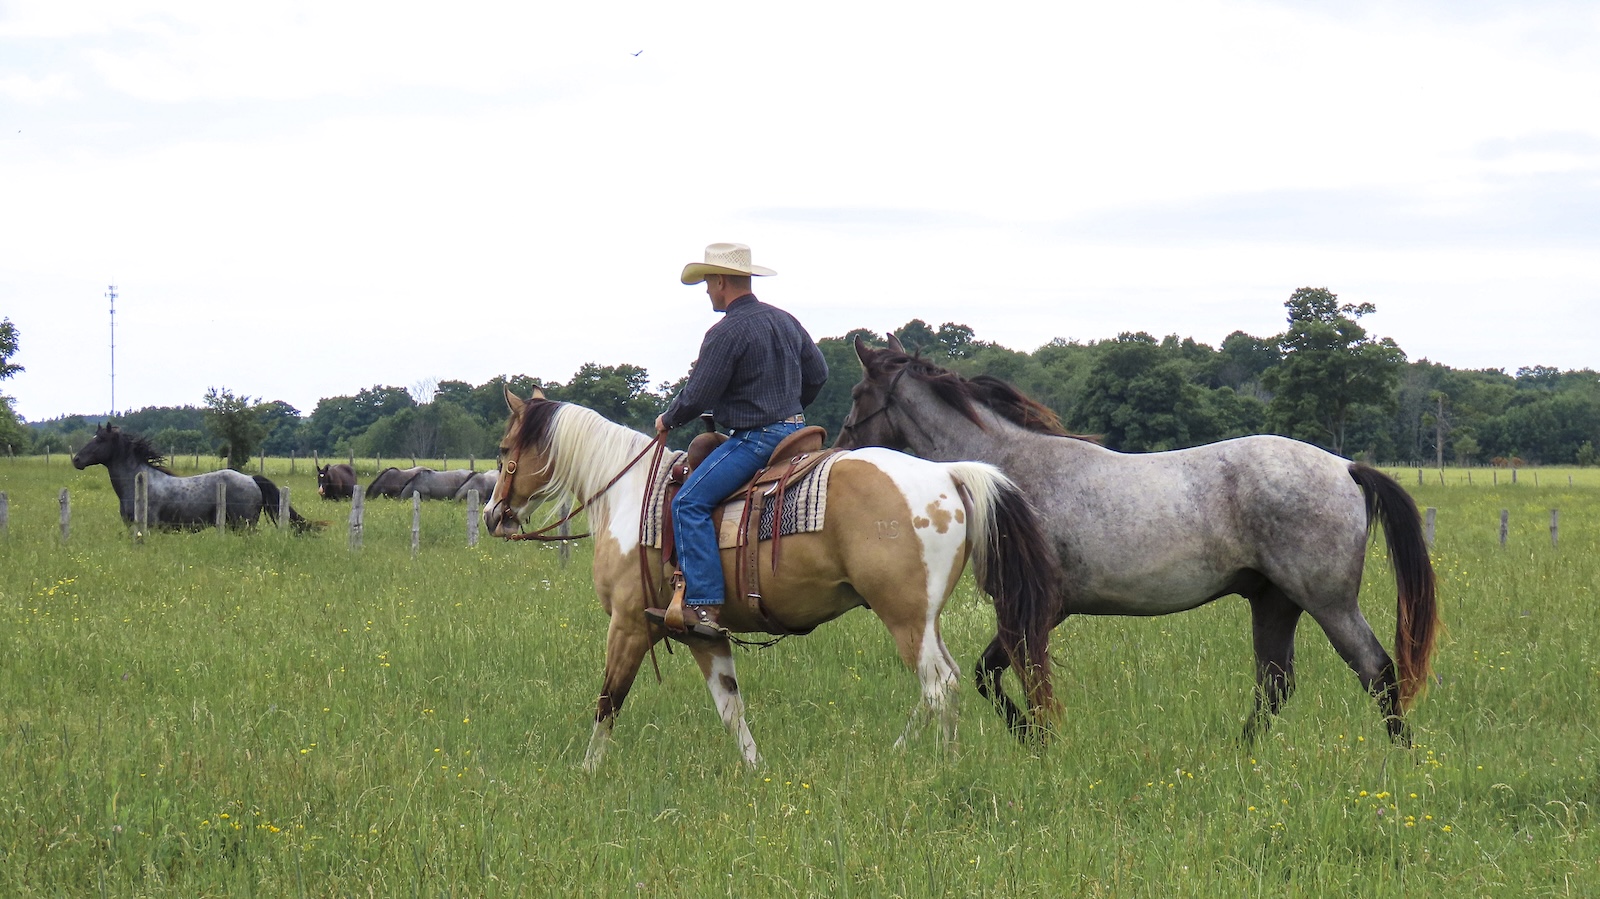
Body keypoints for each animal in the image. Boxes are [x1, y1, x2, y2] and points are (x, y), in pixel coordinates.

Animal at [484, 387, 1059, 771]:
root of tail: (947, 473)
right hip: (925, 618)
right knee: (946, 683)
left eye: (505, 448)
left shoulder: (628, 625)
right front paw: (756, 771)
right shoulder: (701, 633)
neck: (628, 496)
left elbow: (608, 700)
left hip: (904, 617)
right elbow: (730, 707)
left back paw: (937, 765)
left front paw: (588, 772)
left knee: (938, 686)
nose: (493, 515)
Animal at [838, 336, 1439, 745]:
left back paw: (1400, 761)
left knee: (1376, 671)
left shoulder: (1032, 608)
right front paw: (1037, 739)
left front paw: (1036, 739)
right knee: (1275, 686)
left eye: (857, 392)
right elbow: (997, 677)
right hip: (1275, 602)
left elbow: (1003, 678)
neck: (1007, 473)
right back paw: (1239, 758)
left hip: (1327, 602)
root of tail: (1345, 467)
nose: (841, 448)